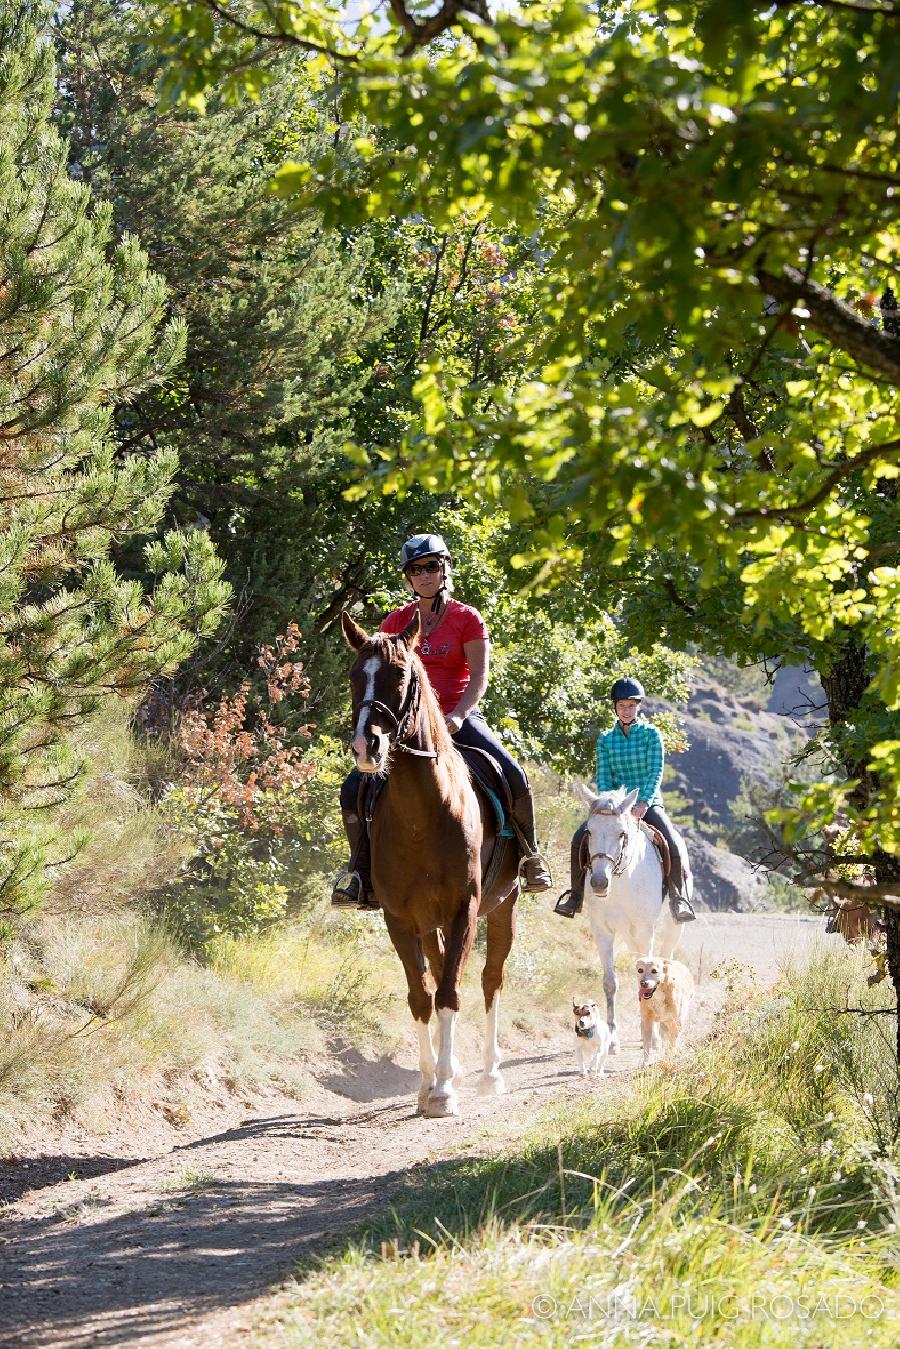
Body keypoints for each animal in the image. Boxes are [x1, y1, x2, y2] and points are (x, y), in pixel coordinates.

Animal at [340, 612, 520, 1116]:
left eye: (402, 677)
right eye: (354, 676)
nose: (367, 746)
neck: (423, 814)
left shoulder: (465, 910)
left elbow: (452, 992)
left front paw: (443, 1092)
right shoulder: (399, 917)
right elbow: (422, 995)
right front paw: (427, 1085)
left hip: (503, 906)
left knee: (490, 980)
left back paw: (490, 1073)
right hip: (427, 922)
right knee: (439, 975)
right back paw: (450, 1066)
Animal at [580, 787, 680, 1057]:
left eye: (621, 833)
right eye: (589, 832)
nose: (599, 882)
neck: (622, 881)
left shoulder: (646, 931)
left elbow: (653, 977)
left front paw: (653, 1038)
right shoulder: (602, 931)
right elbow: (610, 983)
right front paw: (613, 1040)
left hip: (671, 929)